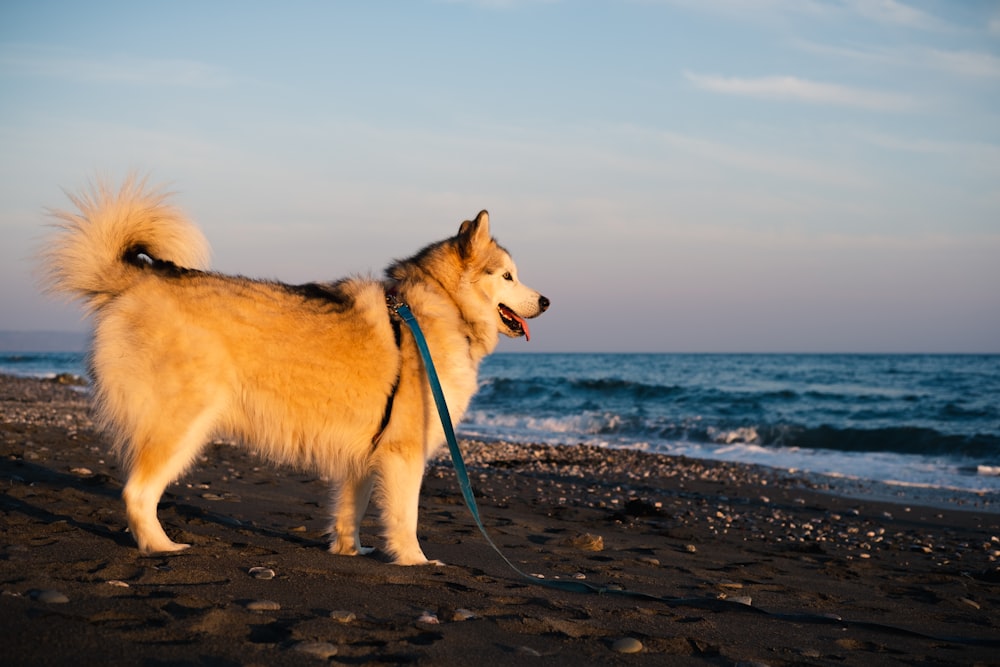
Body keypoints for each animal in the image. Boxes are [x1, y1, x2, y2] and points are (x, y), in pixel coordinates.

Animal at [39, 176, 552, 564]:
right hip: (182, 425)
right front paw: (415, 562)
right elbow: (404, 519)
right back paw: (161, 546)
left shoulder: (366, 453)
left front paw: (350, 551)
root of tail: (138, 277)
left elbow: (351, 510)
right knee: (137, 493)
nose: (546, 301)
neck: (439, 306)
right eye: (508, 276)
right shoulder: (404, 453)